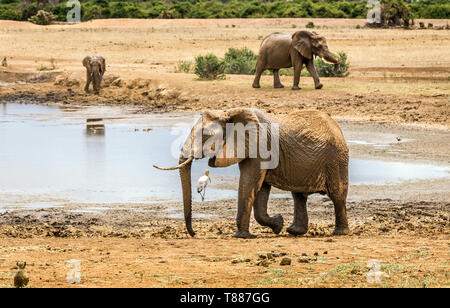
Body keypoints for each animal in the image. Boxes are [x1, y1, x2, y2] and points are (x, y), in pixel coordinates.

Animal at [153, 107, 350, 238]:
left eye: (206, 135)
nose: (194, 233)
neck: (230, 114)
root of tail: (337, 127)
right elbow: (261, 188)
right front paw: (278, 224)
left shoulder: (260, 147)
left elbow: (250, 183)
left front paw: (240, 236)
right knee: (299, 195)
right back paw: (294, 231)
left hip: (336, 159)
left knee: (337, 194)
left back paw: (339, 233)